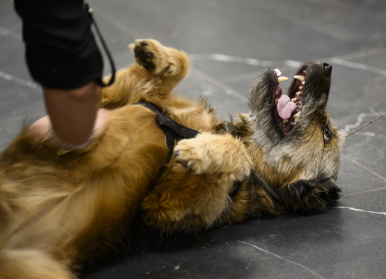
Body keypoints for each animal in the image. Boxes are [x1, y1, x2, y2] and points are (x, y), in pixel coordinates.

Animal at [0, 40, 344, 279]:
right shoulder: (109, 105)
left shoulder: (163, 204)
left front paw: (201, 151)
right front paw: (156, 57)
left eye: (326, 133)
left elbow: (235, 155)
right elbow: (175, 67)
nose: (328, 67)